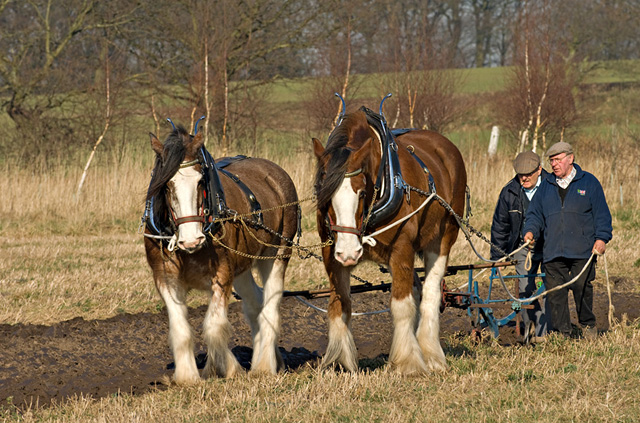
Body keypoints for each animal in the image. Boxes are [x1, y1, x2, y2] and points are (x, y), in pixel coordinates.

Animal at [144, 125, 298, 384]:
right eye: (166, 185)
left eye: (200, 182)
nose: (191, 239)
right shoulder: (165, 278)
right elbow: (181, 329)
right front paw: (187, 377)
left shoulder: (222, 275)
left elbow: (214, 326)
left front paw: (225, 368)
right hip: (242, 266)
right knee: (255, 305)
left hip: (277, 254)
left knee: (270, 307)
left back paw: (264, 365)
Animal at [314, 107, 468, 374]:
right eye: (326, 195)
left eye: (361, 192)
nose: (349, 253)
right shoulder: (331, 254)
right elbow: (339, 304)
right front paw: (340, 361)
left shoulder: (402, 248)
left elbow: (402, 305)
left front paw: (408, 362)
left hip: (443, 237)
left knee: (430, 292)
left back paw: (430, 353)